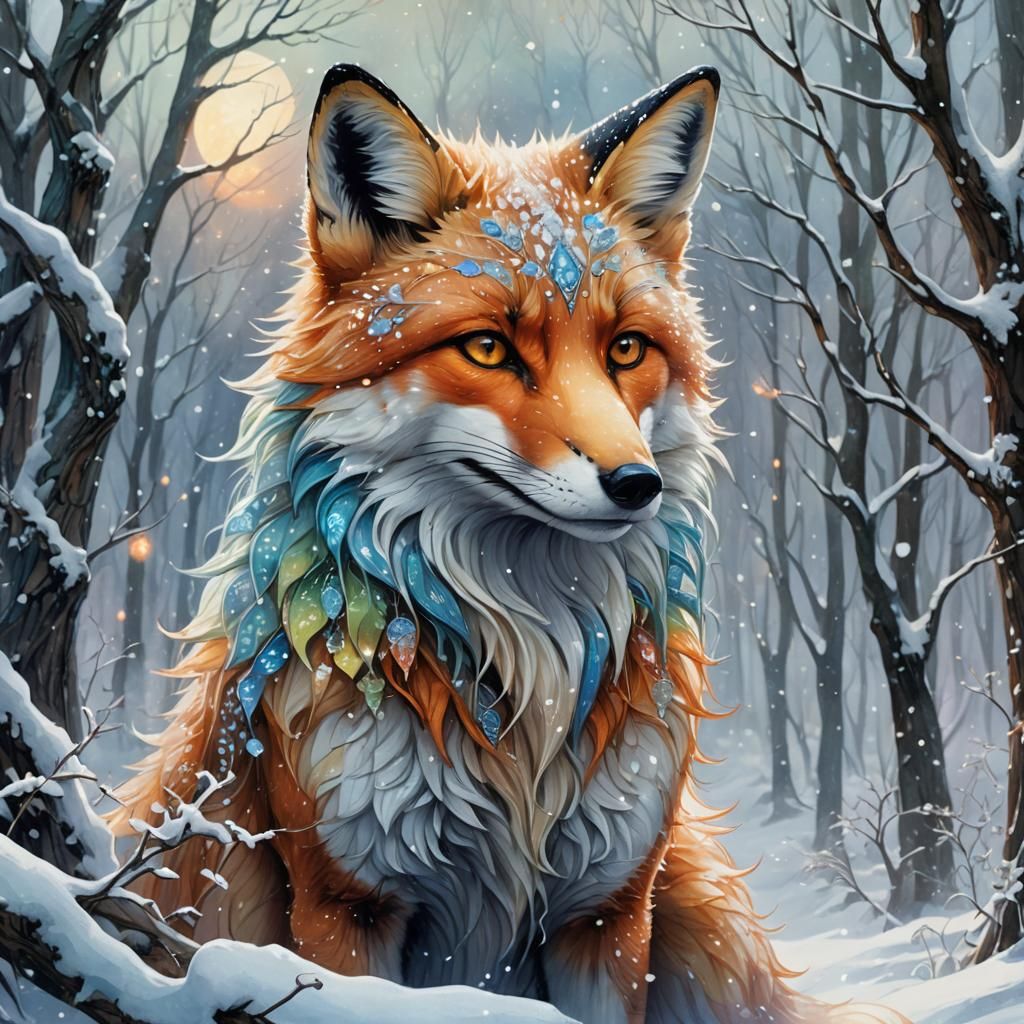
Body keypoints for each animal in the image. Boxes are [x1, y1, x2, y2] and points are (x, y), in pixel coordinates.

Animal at [111, 65, 907, 1024]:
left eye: (626, 349)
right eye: (489, 348)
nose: (636, 483)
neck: (527, 674)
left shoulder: (609, 913)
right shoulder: (344, 905)